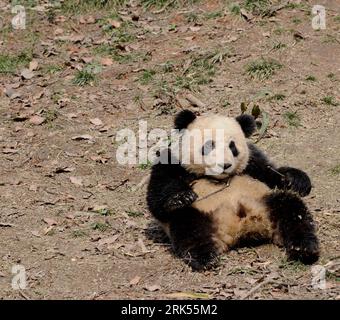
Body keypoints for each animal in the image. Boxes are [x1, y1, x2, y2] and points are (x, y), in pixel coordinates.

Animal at [147, 110, 320, 270]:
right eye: (209, 145)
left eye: (232, 146)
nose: (225, 165)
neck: (218, 178)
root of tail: (240, 229)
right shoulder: (172, 162)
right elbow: (158, 198)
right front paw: (181, 197)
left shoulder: (253, 163)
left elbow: (271, 174)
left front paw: (296, 179)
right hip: (202, 212)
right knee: (187, 224)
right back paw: (205, 257)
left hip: (266, 202)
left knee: (291, 209)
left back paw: (304, 249)